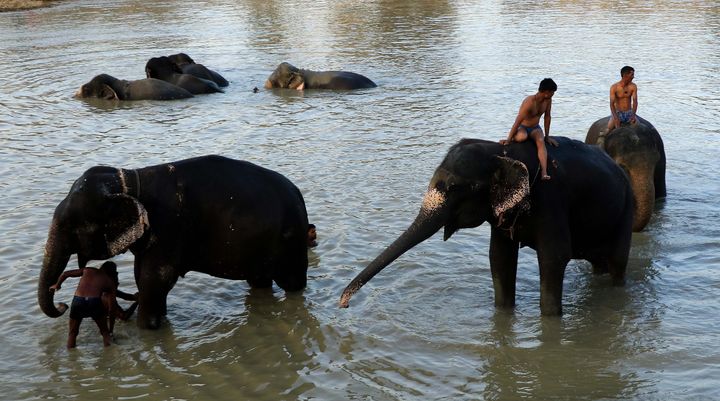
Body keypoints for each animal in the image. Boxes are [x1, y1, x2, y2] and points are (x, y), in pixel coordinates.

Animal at [39, 155, 310, 328]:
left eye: (71, 226)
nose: (61, 303)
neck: (131, 179)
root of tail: (298, 193)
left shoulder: (167, 227)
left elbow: (154, 281)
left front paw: (148, 329)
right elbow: (144, 278)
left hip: (292, 242)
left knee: (292, 283)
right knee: (259, 282)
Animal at [340, 138, 632, 316]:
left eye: (455, 188)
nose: (343, 303)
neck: (501, 152)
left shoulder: (552, 201)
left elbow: (554, 257)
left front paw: (551, 320)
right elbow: (499, 258)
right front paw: (502, 312)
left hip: (627, 210)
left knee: (618, 262)